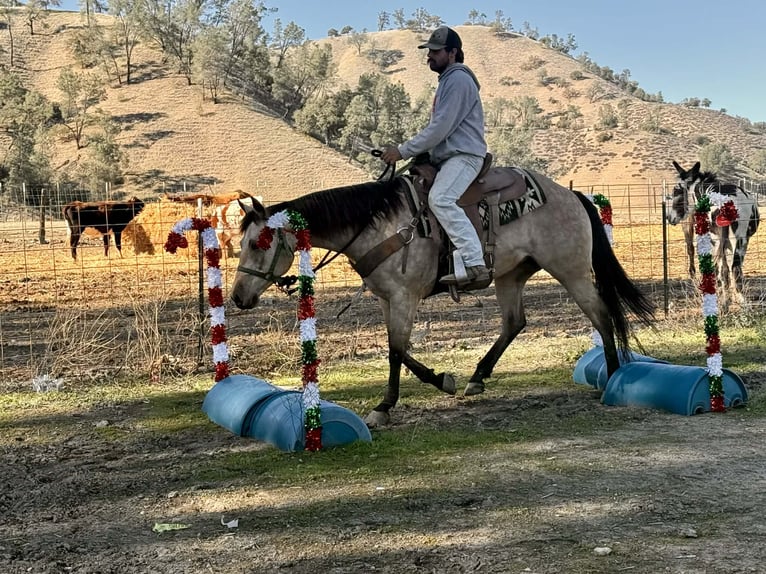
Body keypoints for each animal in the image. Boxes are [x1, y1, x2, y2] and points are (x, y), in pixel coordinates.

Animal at [230, 168, 655, 427]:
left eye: (258, 242)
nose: (236, 297)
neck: (377, 223)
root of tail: (570, 194)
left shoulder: (404, 297)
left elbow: (395, 351)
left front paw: (387, 405)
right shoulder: (386, 299)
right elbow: (398, 348)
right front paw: (442, 381)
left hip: (570, 270)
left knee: (600, 312)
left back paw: (612, 376)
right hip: (511, 275)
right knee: (514, 322)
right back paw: (477, 379)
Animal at [666, 161, 761, 309]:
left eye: (676, 191)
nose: (669, 217)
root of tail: (723, 203)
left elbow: (722, 269)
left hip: (718, 240)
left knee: (723, 269)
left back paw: (724, 302)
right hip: (738, 241)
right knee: (734, 268)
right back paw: (737, 301)